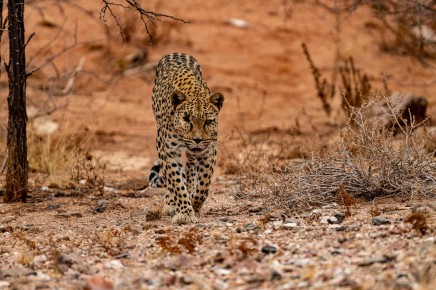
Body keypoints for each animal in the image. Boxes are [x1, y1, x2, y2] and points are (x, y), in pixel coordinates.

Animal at [149, 52, 225, 224]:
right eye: (186, 119)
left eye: (208, 121)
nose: (197, 140)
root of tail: (176, 52)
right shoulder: (168, 152)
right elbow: (176, 183)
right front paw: (184, 212)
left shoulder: (208, 151)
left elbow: (203, 184)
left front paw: (195, 205)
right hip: (160, 141)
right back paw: (170, 202)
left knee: (190, 167)